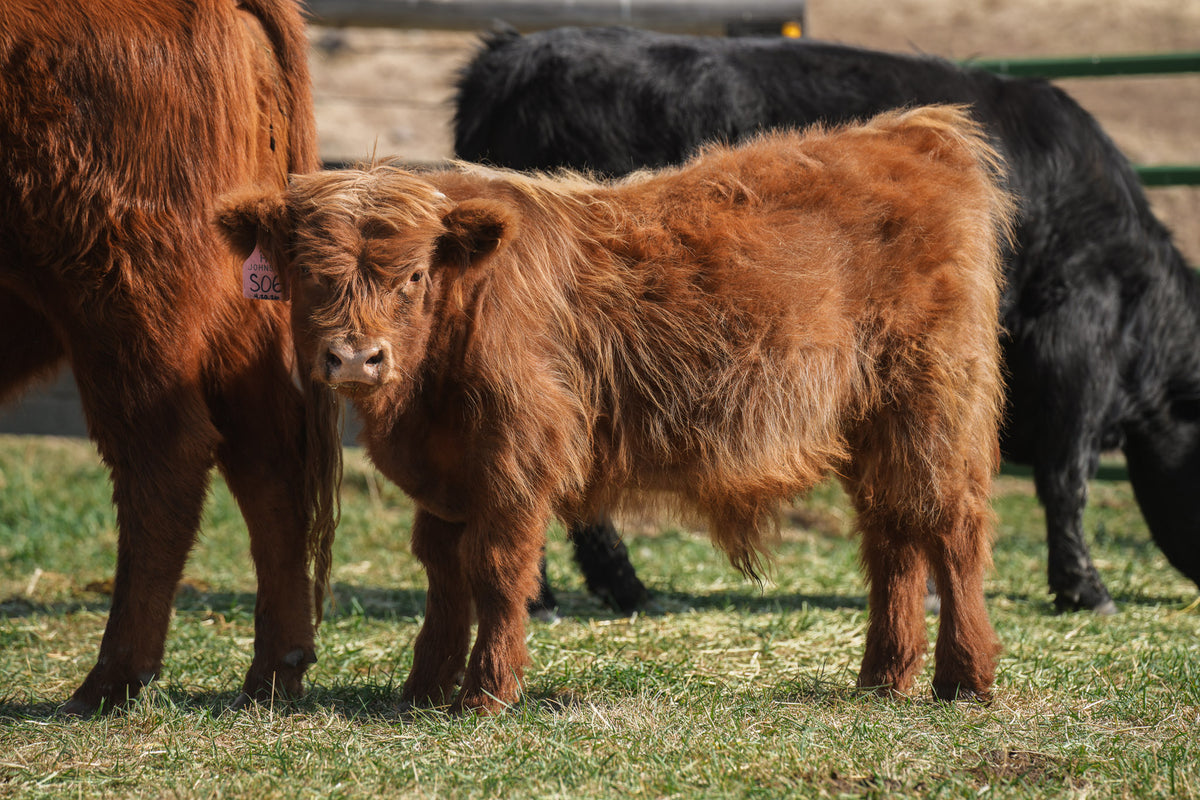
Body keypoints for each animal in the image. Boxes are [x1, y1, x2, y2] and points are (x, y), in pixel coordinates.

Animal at [0, 0, 340, 714]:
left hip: (119, 294)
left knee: (164, 455)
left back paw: (112, 679)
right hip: (234, 324)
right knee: (266, 458)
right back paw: (276, 668)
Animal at [218, 106, 1012, 714]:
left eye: (413, 276)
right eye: (306, 276)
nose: (357, 359)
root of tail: (908, 131)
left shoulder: (516, 460)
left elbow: (497, 571)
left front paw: (485, 693)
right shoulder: (446, 478)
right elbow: (443, 577)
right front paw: (423, 690)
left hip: (935, 404)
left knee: (952, 530)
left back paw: (965, 679)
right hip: (876, 426)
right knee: (894, 536)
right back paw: (884, 678)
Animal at [454, 25, 1200, 616]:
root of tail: (514, 50)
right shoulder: (1074, 350)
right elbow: (1065, 480)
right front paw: (1084, 590)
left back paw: (611, 590)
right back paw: (552, 597)